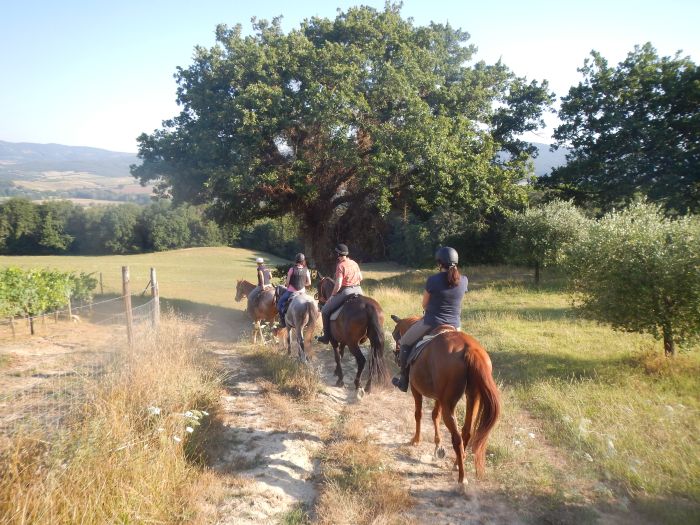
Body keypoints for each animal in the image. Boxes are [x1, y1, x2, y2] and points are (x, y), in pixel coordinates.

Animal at [392, 316, 500, 484]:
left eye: (395, 335)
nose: (395, 354)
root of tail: (470, 349)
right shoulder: (439, 398)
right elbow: (435, 415)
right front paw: (438, 446)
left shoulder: (416, 389)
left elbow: (418, 414)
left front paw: (416, 440)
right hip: (472, 397)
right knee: (466, 432)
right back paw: (458, 462)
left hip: (449, 405)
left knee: (456, 437)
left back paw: (462, 477)